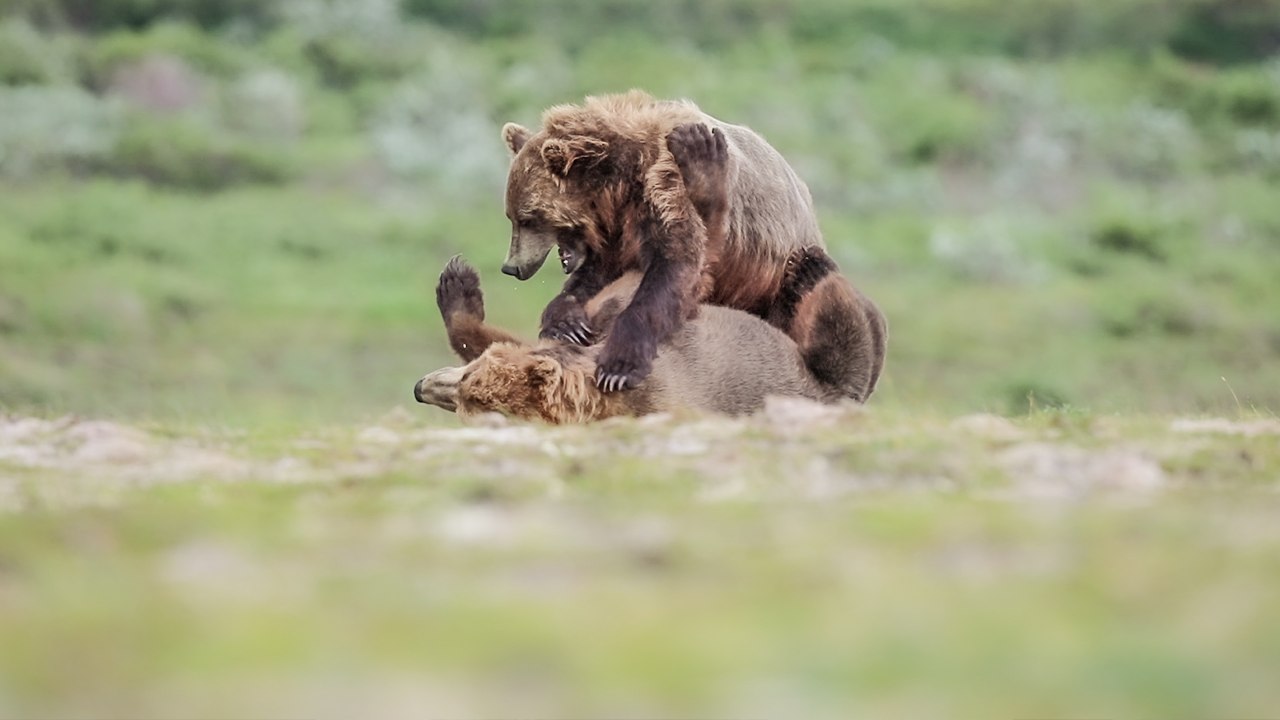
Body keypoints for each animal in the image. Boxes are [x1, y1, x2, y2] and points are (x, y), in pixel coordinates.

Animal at [498, 90, 886, 401]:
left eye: (527, 217)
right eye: (511, 216)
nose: (511, 267)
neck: (619, 186)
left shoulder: (666, 186)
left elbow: (675, 268)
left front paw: (619, 364)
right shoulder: (617, 234)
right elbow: (596, 277)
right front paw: (565, 320)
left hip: (781, 275)